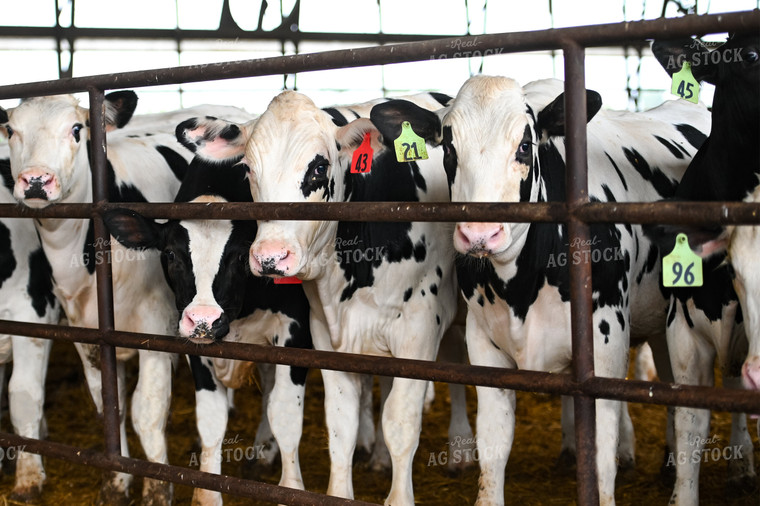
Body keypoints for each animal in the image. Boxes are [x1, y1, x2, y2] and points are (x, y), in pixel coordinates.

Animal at [104, 155, 312, 506]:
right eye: (170, 254)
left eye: (241, 255)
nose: (203, 319)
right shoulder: (194, 347)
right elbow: (212, 420)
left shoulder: (296, 332)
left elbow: (285, 414)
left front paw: (291, 490)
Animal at [380, 77, 712, 504]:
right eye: (450, 149)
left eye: (525, 145)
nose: (479, 234)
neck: (520, 286)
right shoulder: (484, 344)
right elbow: (493, 449)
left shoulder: (605, 342)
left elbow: (600, 457)